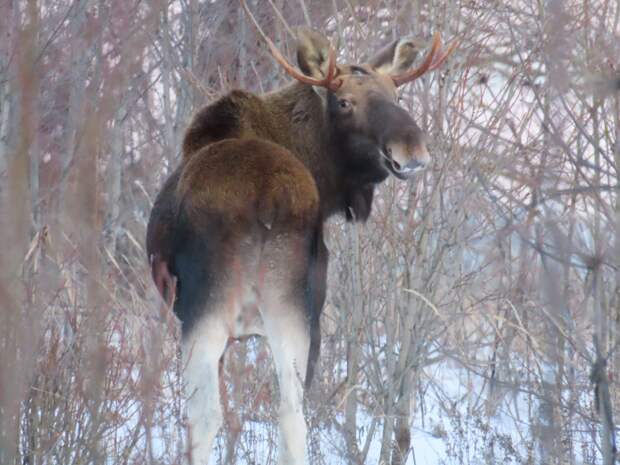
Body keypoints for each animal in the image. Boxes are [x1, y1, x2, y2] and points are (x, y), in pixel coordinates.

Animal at [145, 12, 456, 462]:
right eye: (344, 102)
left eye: (395, 93)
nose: (411, 149)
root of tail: (266, 197)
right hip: (293, 312)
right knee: (292, 415)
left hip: (208, 310)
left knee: (205, 420)